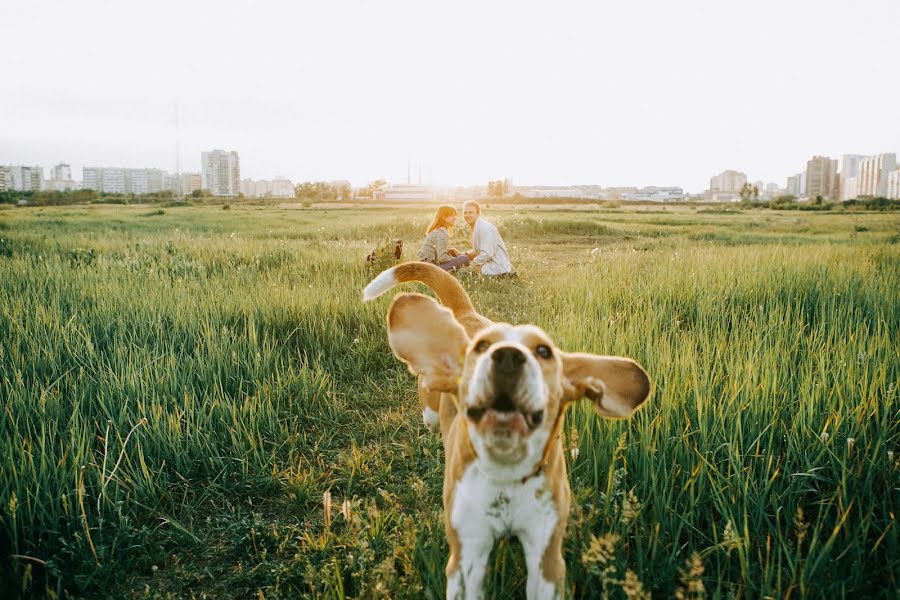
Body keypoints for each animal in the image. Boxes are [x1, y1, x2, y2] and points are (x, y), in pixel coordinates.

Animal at [362, 262, 652, 600]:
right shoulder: (467, 554)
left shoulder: (546, 557)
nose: (509, 355)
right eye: (481, 347)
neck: (506, 475)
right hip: (430, 412)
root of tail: (466, 313)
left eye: (544, 351)